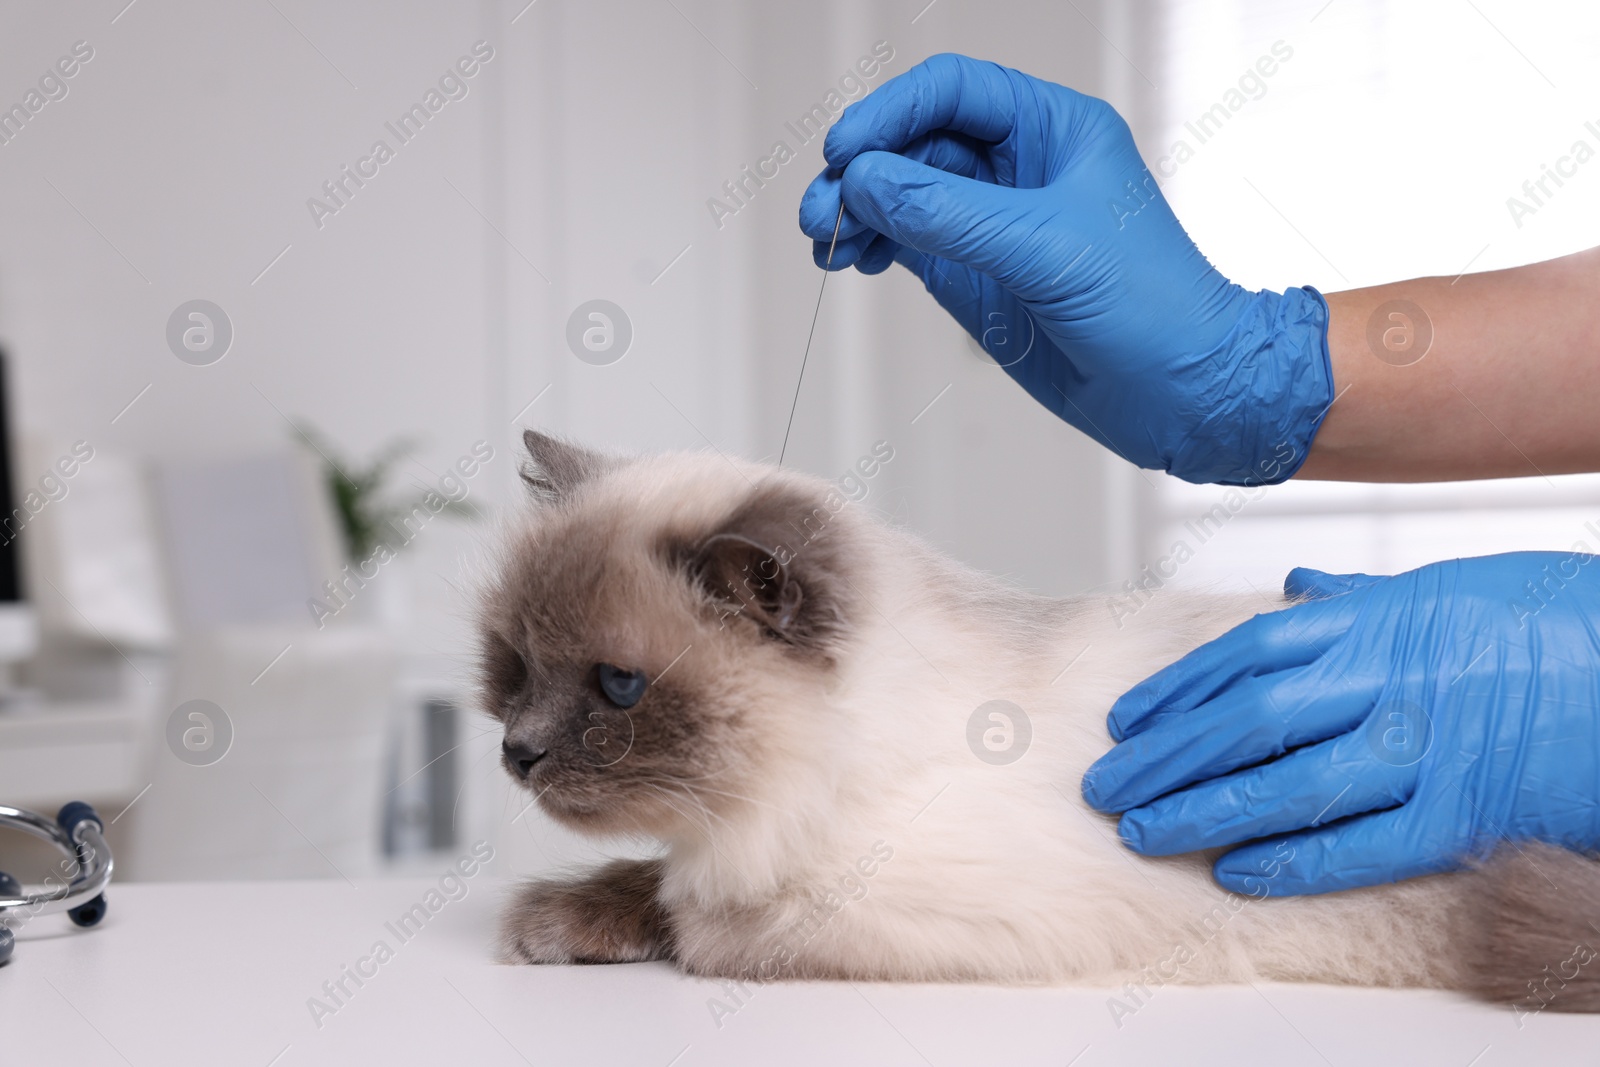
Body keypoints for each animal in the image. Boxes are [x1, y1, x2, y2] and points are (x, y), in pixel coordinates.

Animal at [480, 428, 1600, 1017]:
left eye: (619, 687)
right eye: (514, 668)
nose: (516, 751)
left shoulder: (847, 911)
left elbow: (696, 917)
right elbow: (655, 878)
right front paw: (559, 921)